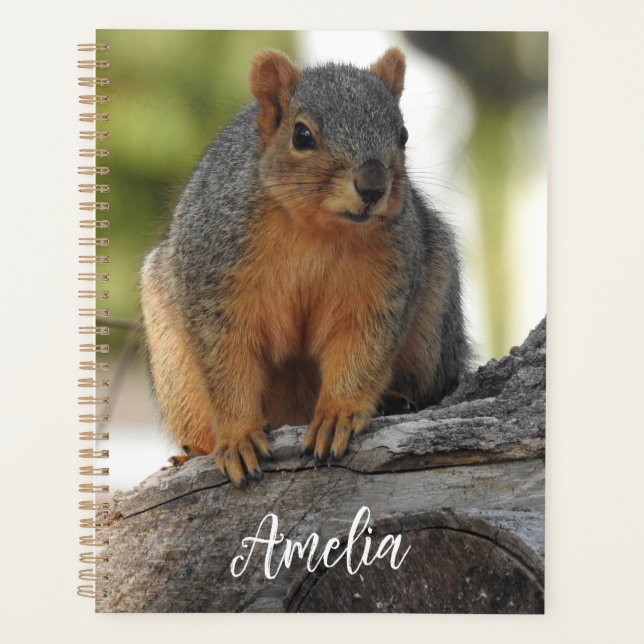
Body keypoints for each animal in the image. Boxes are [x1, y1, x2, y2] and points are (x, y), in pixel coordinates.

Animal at [140, 48, 470, 486]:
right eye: (301, 136)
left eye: (402, 135)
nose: (373, 185)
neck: (317, 230)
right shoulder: (212, 276)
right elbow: (226, 361)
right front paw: (238, 436)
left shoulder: (383, 283)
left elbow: (361, 348)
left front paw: (337, 415)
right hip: (173, 367)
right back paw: (192, 451)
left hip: (434, 321)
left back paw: (395, 399)